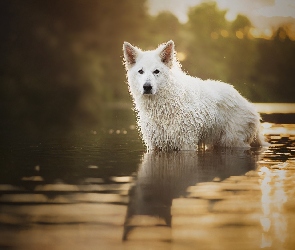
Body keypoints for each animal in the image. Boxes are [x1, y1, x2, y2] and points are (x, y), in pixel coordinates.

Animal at [122, 40, 266, 150]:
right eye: (140, 71)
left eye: (156, 71)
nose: (147, 87)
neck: (164, 106)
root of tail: (247, 102)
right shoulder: (155, 146)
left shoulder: (186, 143)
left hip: (232, 142)